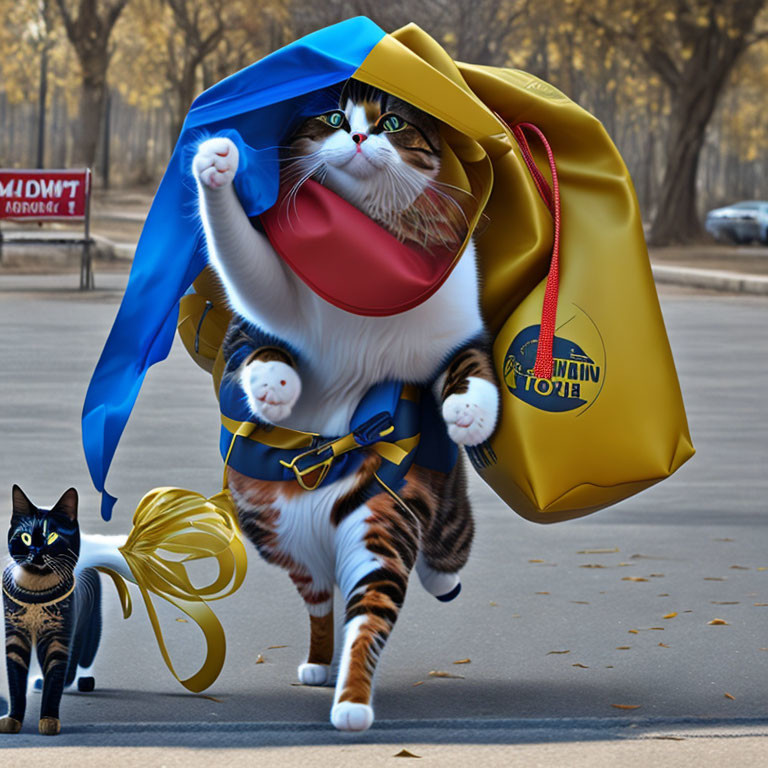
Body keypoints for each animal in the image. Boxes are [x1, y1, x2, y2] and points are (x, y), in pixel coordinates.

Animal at [0, 488, 102, 736]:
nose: (37, 552)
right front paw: (13, 719)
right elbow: (16, 680)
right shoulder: (15, 635)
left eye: (52, 537)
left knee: (83, 657)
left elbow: (54, 681)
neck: (35, 592)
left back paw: (83, 680)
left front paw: (48, 720)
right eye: (26, 538)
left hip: (90, 624)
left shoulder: (59, 636)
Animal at [195, 79, 500, 732]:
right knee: (318, 598)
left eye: (391, 122)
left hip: (398, 516)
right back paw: (318, 661)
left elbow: (471, 363)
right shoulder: (272, 299)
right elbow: (252, 307)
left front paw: (470, 414)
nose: (359, 135)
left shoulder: (452, 328)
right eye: (335, 118)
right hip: (277, 537)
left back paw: (436, 579)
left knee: (439, 551)